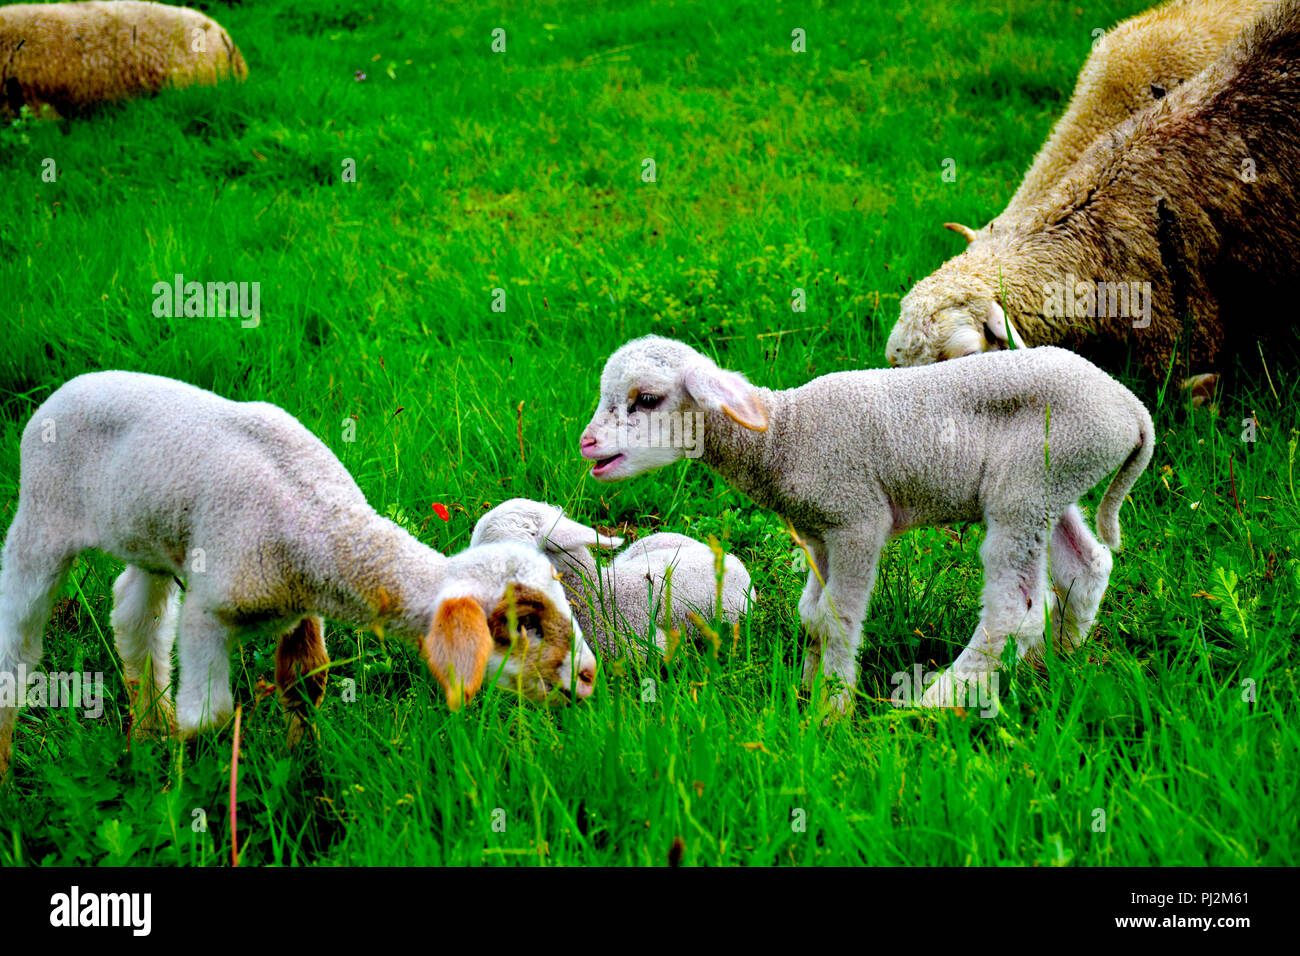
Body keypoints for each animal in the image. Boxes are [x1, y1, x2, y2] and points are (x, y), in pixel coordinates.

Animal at [0, 371, 595, 780]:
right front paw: (195, 785)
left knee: (137, 620)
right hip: (41, 520)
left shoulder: (300, 606)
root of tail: (66, 389)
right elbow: (209, 715)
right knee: (18, 641)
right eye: (520, 624)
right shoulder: (208, 611)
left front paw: (300, 768)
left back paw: (148, 731)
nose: (589, 677)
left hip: (150, 535)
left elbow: (308, 683)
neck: (321, 527)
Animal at [585, 335, 1154, 712]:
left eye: (646, 399)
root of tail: (1131, 407)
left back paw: (942, 698)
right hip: (1054, 484)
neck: (784, 436)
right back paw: (1050, 660)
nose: (587, 445)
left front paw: (831, 709)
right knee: (1086, 567)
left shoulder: (856, 519)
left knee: (1014, 608)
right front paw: (807, 686)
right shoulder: (817, 533)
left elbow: (838, 617)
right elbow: (811, 614)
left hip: (1029, 485)